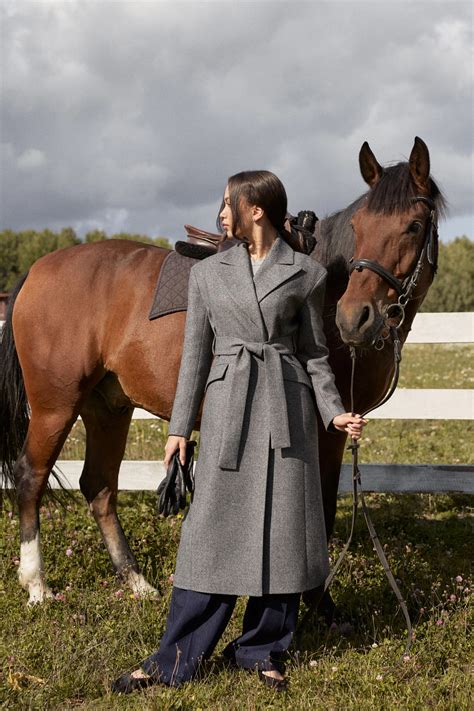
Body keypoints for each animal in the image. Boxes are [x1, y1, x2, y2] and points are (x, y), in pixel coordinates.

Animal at [0, 139, 444, 608]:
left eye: (414, 226)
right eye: (359, 226)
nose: (354, 318)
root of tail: (37, 271)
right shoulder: (325, 432)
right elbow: (322, 509)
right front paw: (319, 605)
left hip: (108, 409)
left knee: (99, 487)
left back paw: (136, 582)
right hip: (55, 406)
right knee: (30, 477)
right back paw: (37, 585)